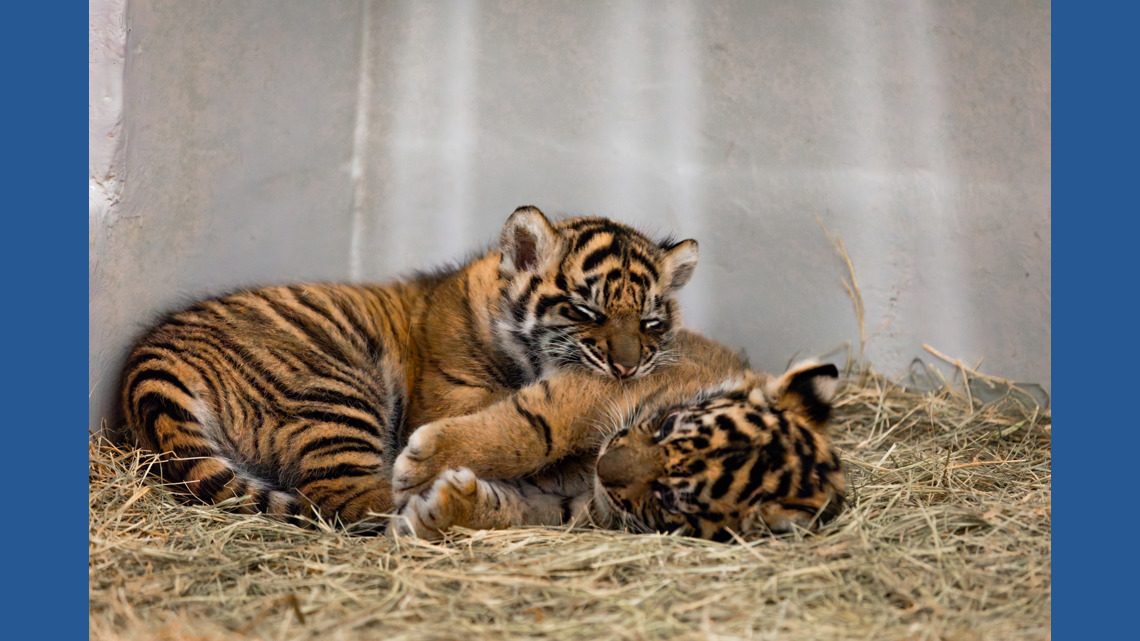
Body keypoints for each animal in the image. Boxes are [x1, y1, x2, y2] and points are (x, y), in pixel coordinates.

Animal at [118, 206, 701, 529]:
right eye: (586, 312)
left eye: (650, 323)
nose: (627, 370)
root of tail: (149, 362)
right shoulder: (454, 400)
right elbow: (518, 431)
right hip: (335, 389)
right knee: (348, 498)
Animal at [390, 330, 847, 542]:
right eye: (667, 425)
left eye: (670, 498)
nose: (603, 466)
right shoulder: (599, 386)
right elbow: (536, 427)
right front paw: (421, 466)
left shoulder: (575, 508)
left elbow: (518, 509)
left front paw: (435, 511)